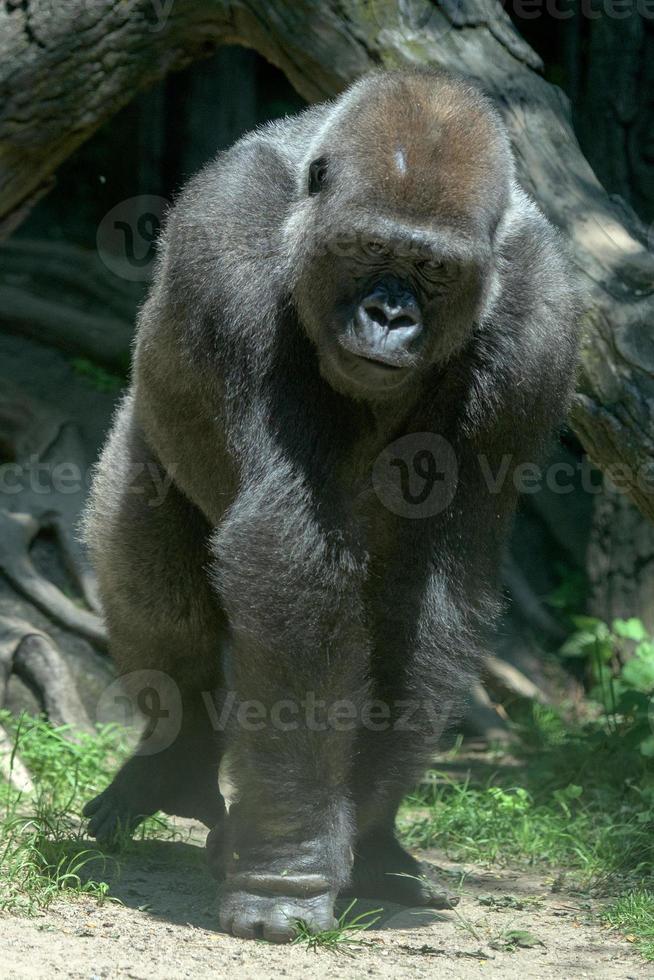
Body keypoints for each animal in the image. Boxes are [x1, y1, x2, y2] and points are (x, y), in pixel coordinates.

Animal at [84, 69, 580, 940]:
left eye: (435, 272)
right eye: (369, 252)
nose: (389, 315)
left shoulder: (539, 325)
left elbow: (430, 594)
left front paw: (339, 837)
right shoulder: (231, 245)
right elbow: (290, 552)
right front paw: (290, 864)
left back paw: (380, 852)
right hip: (141, 438)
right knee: (146, 574)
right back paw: (175, 763)